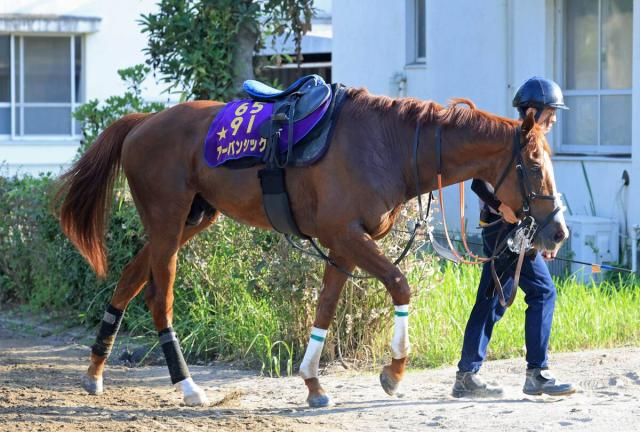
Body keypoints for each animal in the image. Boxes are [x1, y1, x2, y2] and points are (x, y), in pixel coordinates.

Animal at [55, 86, 568, 408]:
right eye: (534, 164)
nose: (558, 232)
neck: (387, 146)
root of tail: (143, 123)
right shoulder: (344, 236)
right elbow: (400, 285)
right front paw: (394, 372)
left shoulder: (344, 244)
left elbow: (324, 309)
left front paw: (313, 383)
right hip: (167, 222)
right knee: (159, 300)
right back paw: (187, 387)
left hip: (188, 221)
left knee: (129, 278)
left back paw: (95, 371)